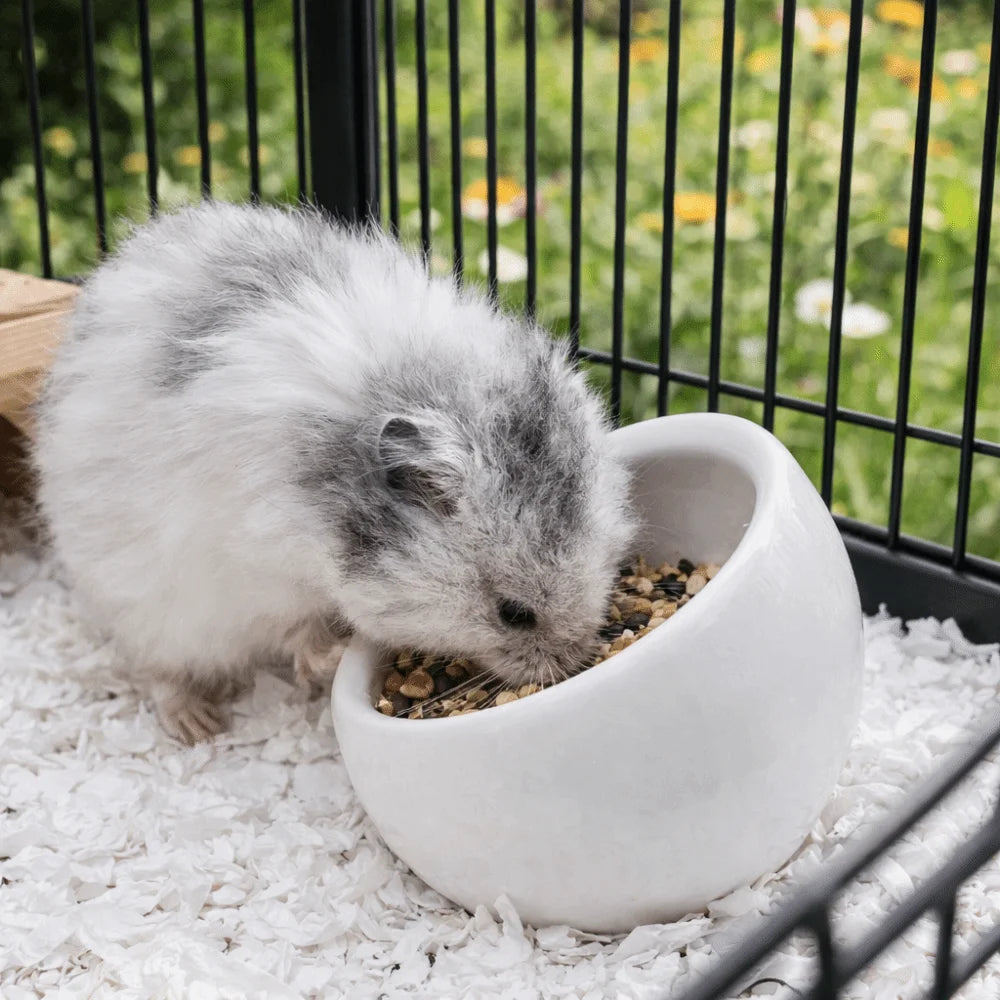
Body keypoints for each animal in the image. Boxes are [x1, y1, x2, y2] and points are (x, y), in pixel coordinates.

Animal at [33, 201, 636, 744]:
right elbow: (299, 630)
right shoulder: (256, 571)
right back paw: (197, 727)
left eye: (611, 564)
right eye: (513, 613)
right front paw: (333, 658)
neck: (318, 505)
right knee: (159, 670)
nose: (575, 661)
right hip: (145, 608)